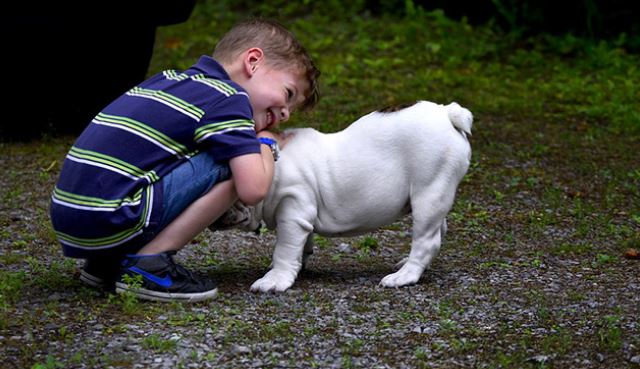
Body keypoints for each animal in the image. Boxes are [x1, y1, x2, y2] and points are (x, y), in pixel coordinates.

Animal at [212, 100, 472, 290]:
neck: (271, 164)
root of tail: (447, 113)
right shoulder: (301, 217)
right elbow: (302, 244)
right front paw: (300, 263)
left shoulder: (293, 213)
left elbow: (284, 249)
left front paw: (275, 279)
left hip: (429, 191)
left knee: (426, 239)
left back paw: (404, 275)